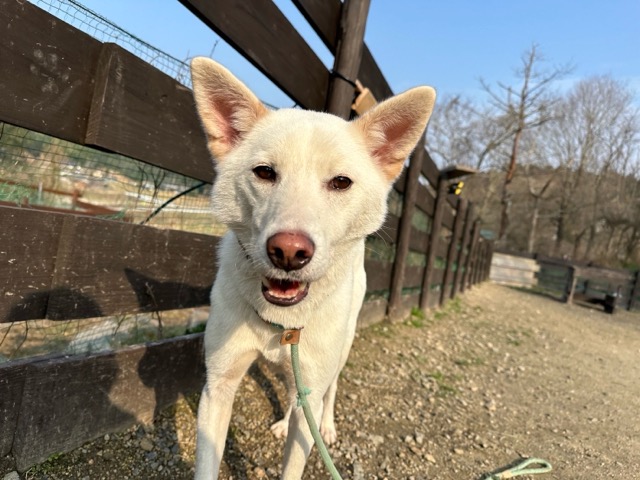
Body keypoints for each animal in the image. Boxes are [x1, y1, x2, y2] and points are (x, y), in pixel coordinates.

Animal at [190, 57, 435, 479]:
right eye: (264, 172)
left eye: (341, 182)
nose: (288, 252)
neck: (280, 321)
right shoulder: (218, 384)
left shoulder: (314, 374)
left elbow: (296, 455)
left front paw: (317, 428)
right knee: (294, 393)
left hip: (341, 349)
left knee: (326, 392)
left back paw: (328, 424)